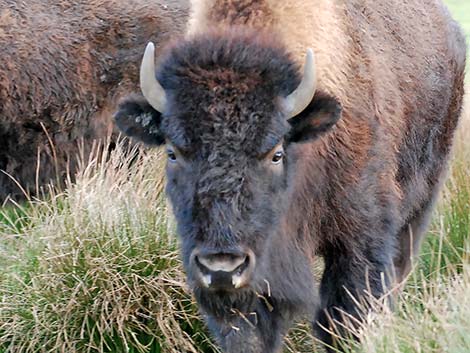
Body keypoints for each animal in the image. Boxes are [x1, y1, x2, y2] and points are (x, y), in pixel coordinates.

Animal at [114, 0, 466, 350]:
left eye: (276, 153)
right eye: (172, 153)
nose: (222, 268)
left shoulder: (359, 239)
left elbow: (345, 317)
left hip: (419, 206)